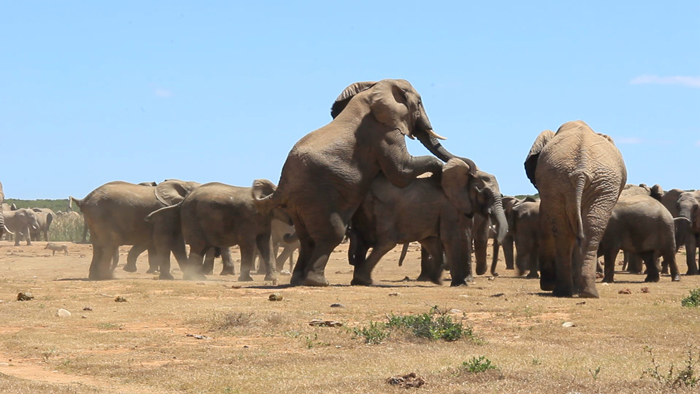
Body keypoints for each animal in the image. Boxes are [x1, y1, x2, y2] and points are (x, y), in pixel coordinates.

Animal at [71, 180, 200, 282]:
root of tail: (84, 200)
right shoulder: (164, 214)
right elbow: (163, 240)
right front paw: (169, 277)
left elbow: (178, 243)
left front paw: (189, 275)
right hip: (100, 214)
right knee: (112, 241)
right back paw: (106, 276)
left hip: (93, 217)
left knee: (98, 245)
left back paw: (96, 276)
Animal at [249, 78, 474, 286]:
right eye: (419, 103)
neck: (374, 90)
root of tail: (283, 184)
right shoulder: (383, 131)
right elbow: (401, 172)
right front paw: (438, 175)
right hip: (318, 197)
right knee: (332, 234)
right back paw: (318, 281)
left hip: (298, 205)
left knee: (306, 240)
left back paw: (298, 280)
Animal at [348, 158, 506, 286]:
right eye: (484, 193)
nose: (496, 273)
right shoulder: (450, 206)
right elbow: (452, 237)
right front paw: (460, 283)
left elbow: (431, 241)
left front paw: (437, 280)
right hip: (382, 209)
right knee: (387, 241)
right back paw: (365, 280)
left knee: (363, 241)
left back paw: (359, 280)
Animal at [524, 121, 628, 298]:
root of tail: (581, 171)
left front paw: (548, 286)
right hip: (579, 184)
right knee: (584, 232)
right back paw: (581, 292)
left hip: (593, 184)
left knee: (568, 232)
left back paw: (569, 291)